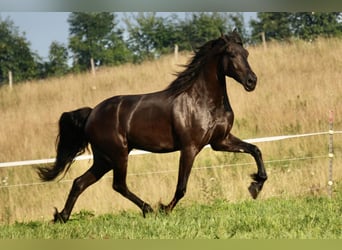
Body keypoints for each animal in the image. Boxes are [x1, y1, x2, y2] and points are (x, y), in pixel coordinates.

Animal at [37, 28, 268, 223]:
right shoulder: (190, 148)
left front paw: (255, 185)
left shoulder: (220, 141)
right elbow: (181, 187)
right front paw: (165, 208)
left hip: (104, 159)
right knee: (118, 185)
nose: (252, 81)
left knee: (80, 182)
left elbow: (255, 149)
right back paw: (148, 208)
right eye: (231, 54)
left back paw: (62, 217)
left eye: (246, 53)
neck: (203, 101)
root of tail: (92, 113)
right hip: (118, 155)